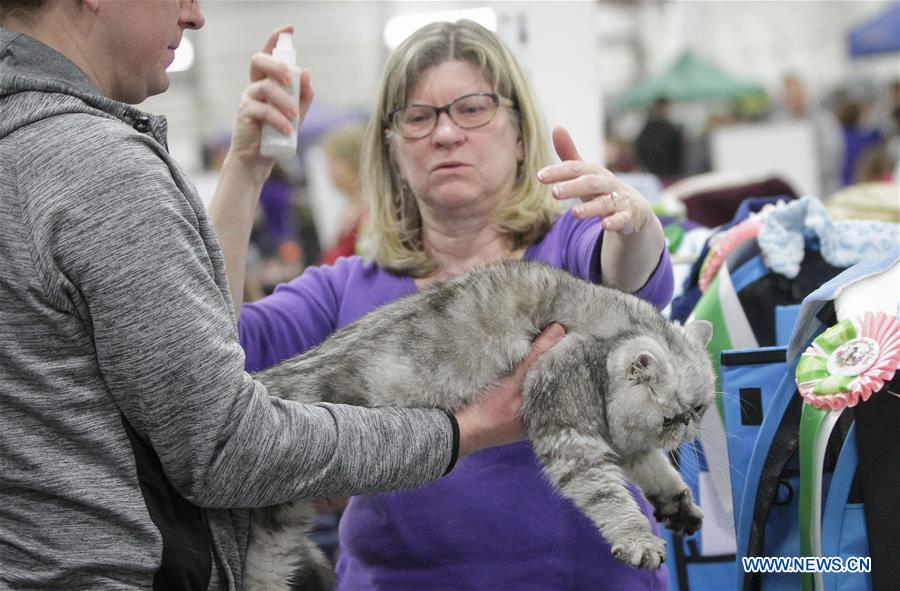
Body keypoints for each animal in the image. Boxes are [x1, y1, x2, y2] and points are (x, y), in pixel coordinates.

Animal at [243, 262, 712, 588]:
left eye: (701, 409)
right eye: (674, 416)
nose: (689, 429)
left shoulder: (620, 436)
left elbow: (656, 471)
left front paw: (678, 505)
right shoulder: (569, 431)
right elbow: (608, 494)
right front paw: (639, 539)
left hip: (274, 542)